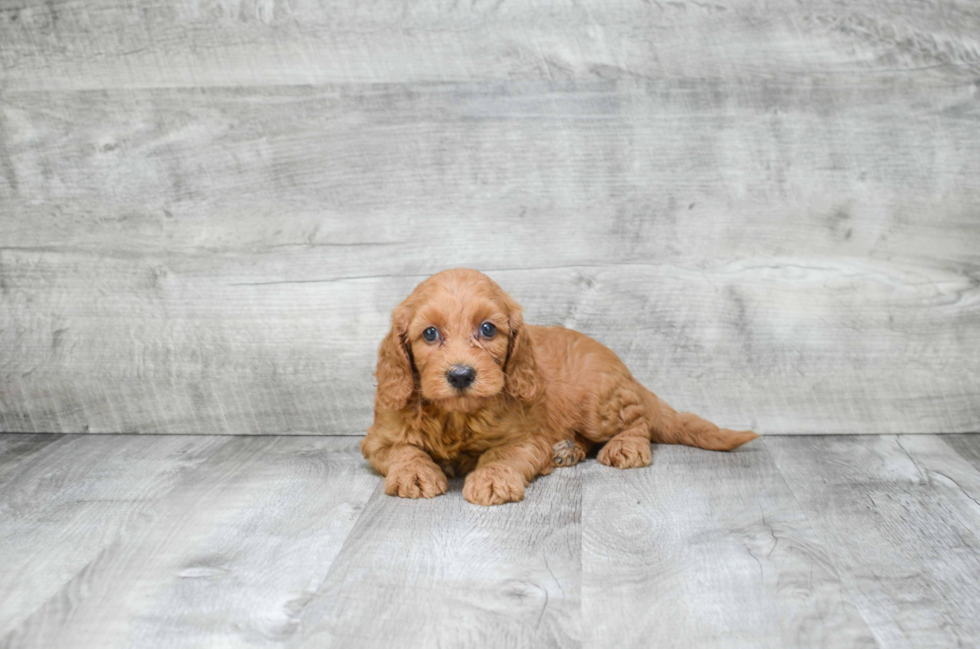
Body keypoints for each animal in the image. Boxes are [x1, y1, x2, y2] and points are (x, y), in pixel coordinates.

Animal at [360, 266, 756, 504]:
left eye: (487, 329)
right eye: (429, 334)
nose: (460, 375)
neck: (456, 417)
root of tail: (623, 370)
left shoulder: (526, 437)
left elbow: (501, 454)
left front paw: (492, 479)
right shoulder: (378, 439)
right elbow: (402, 450)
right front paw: (415, 473)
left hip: (599, 405)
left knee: (638, 421)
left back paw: (625, 446)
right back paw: (567, 450)